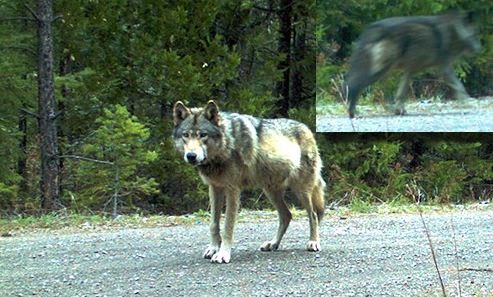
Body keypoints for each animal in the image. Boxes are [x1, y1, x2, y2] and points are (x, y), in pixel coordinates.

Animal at [171, 100, 324, 262]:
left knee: (313, 215)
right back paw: (273, 244)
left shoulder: (232, 190)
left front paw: (223, 254)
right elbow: (213, 224)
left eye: (203, 135)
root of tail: (307, 129)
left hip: (301, 191)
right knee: (287, 216)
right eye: (186, 135)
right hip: (270, 192)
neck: (227, 143)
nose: (191, 156)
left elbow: (227, 226)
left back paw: (313, 242)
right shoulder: (214, 188)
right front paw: (213, 249)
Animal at [344, 11, 478, 118]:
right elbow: (460, 87)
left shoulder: (410, 71)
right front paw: (469, 104)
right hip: (381, 71)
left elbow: (401, 94)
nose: (479, 48)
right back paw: (353, 113)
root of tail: (373, 28)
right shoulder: (444, 68)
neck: (454, 30)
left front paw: (399, 111)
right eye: (473, 35)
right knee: (356, 85)